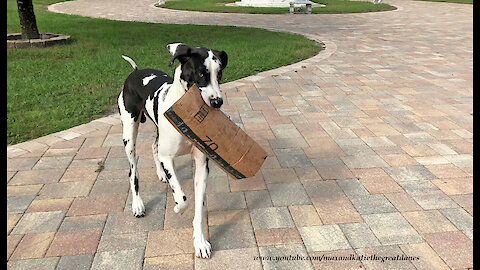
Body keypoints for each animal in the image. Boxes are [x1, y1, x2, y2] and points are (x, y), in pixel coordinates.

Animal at [117, 43, 228, 258]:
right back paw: (138, 204)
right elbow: (183, 198)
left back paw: (161, 174)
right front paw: (178, 208)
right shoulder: (167, 158)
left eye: (219, 75)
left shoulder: (201, 165)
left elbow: (198, 209)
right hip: (129, 135)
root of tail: (135, 72)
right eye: (201, 73)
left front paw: (200, 242)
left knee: (154, 147)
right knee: (133, 172)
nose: (217, 102)